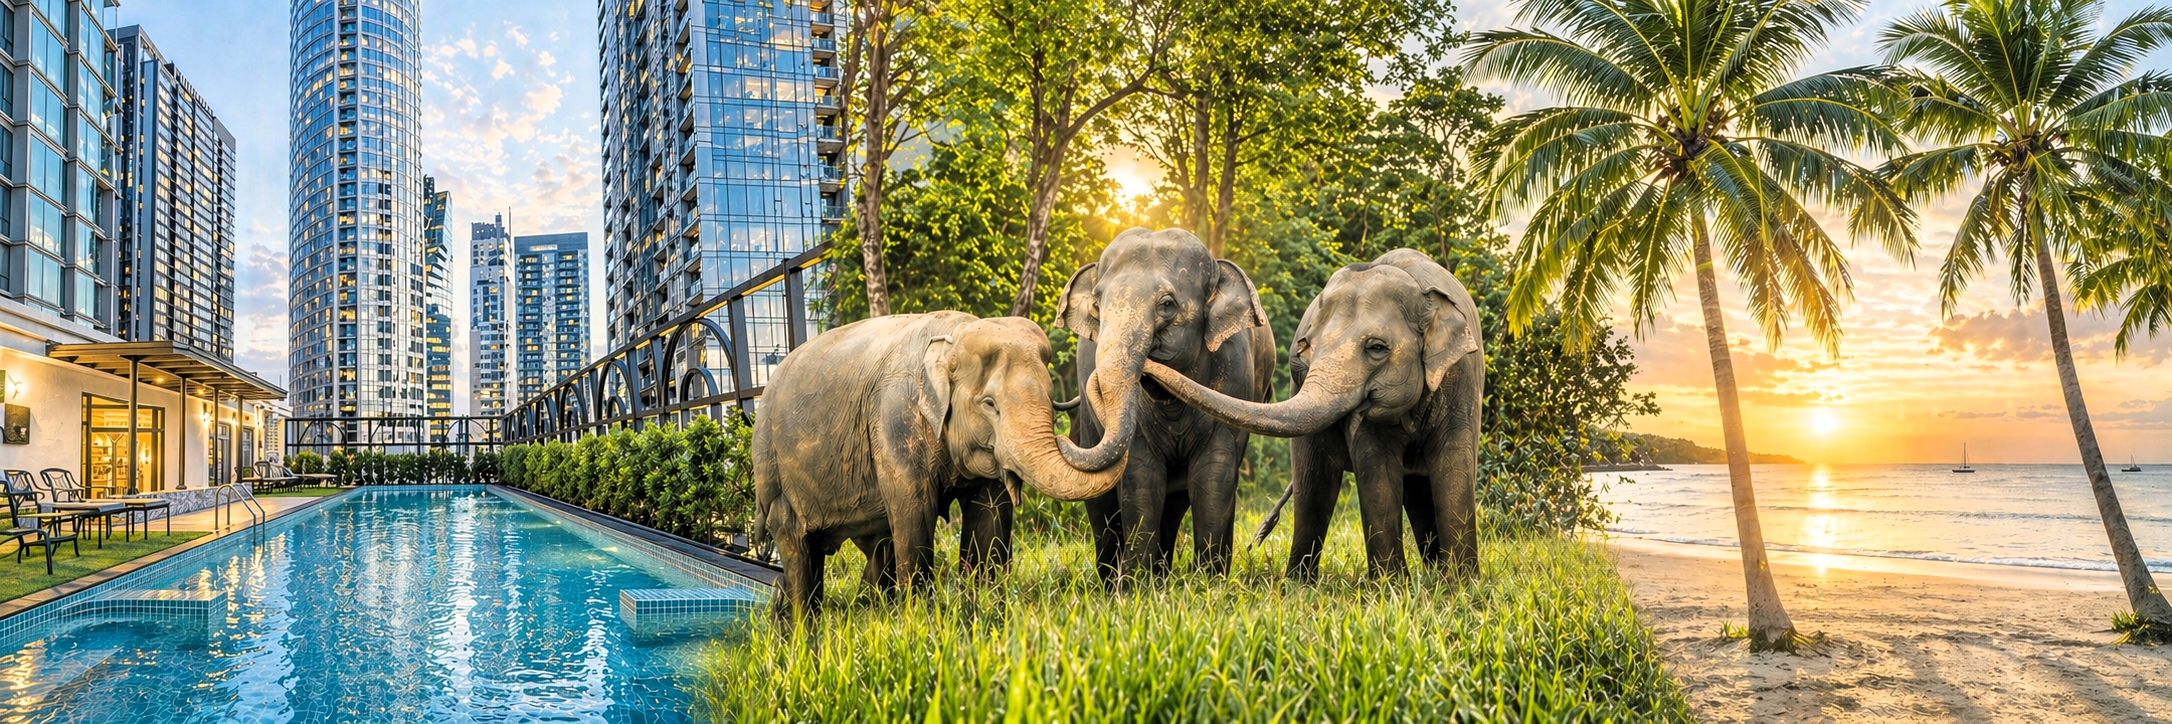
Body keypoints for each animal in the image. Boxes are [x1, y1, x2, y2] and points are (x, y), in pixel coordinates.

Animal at [752, 312, 1125, 616]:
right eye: (989, 404)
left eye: (1050, 397)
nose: (1064, 438)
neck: (953, 338)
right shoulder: (894, 419)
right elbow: (914, 512)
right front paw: (919, 619)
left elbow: (989, 515)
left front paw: (983, 604)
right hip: (770, 468)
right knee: (796, 545)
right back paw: (800, 623)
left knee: (874, 545)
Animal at [1057, 227, 1274, 580]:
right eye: (1096, 305)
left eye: (1167, 305)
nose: (1061, 439)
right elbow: (1141, 477)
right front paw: (1134, 585)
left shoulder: (1235, 371)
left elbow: (1214, 474)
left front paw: (1210, 583)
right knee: (1102, 505)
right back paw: (1111, 581)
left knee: (1176, 503)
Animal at [1140, 248, 1484, 580]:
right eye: (1306, 349)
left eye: (1377, 348)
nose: (1147, 364)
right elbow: (1377, 469)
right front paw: (1394, 586)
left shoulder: (1462, 377)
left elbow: (1454, 466)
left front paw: (1461, 584)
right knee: (1314, 483)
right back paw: (1299, 582)